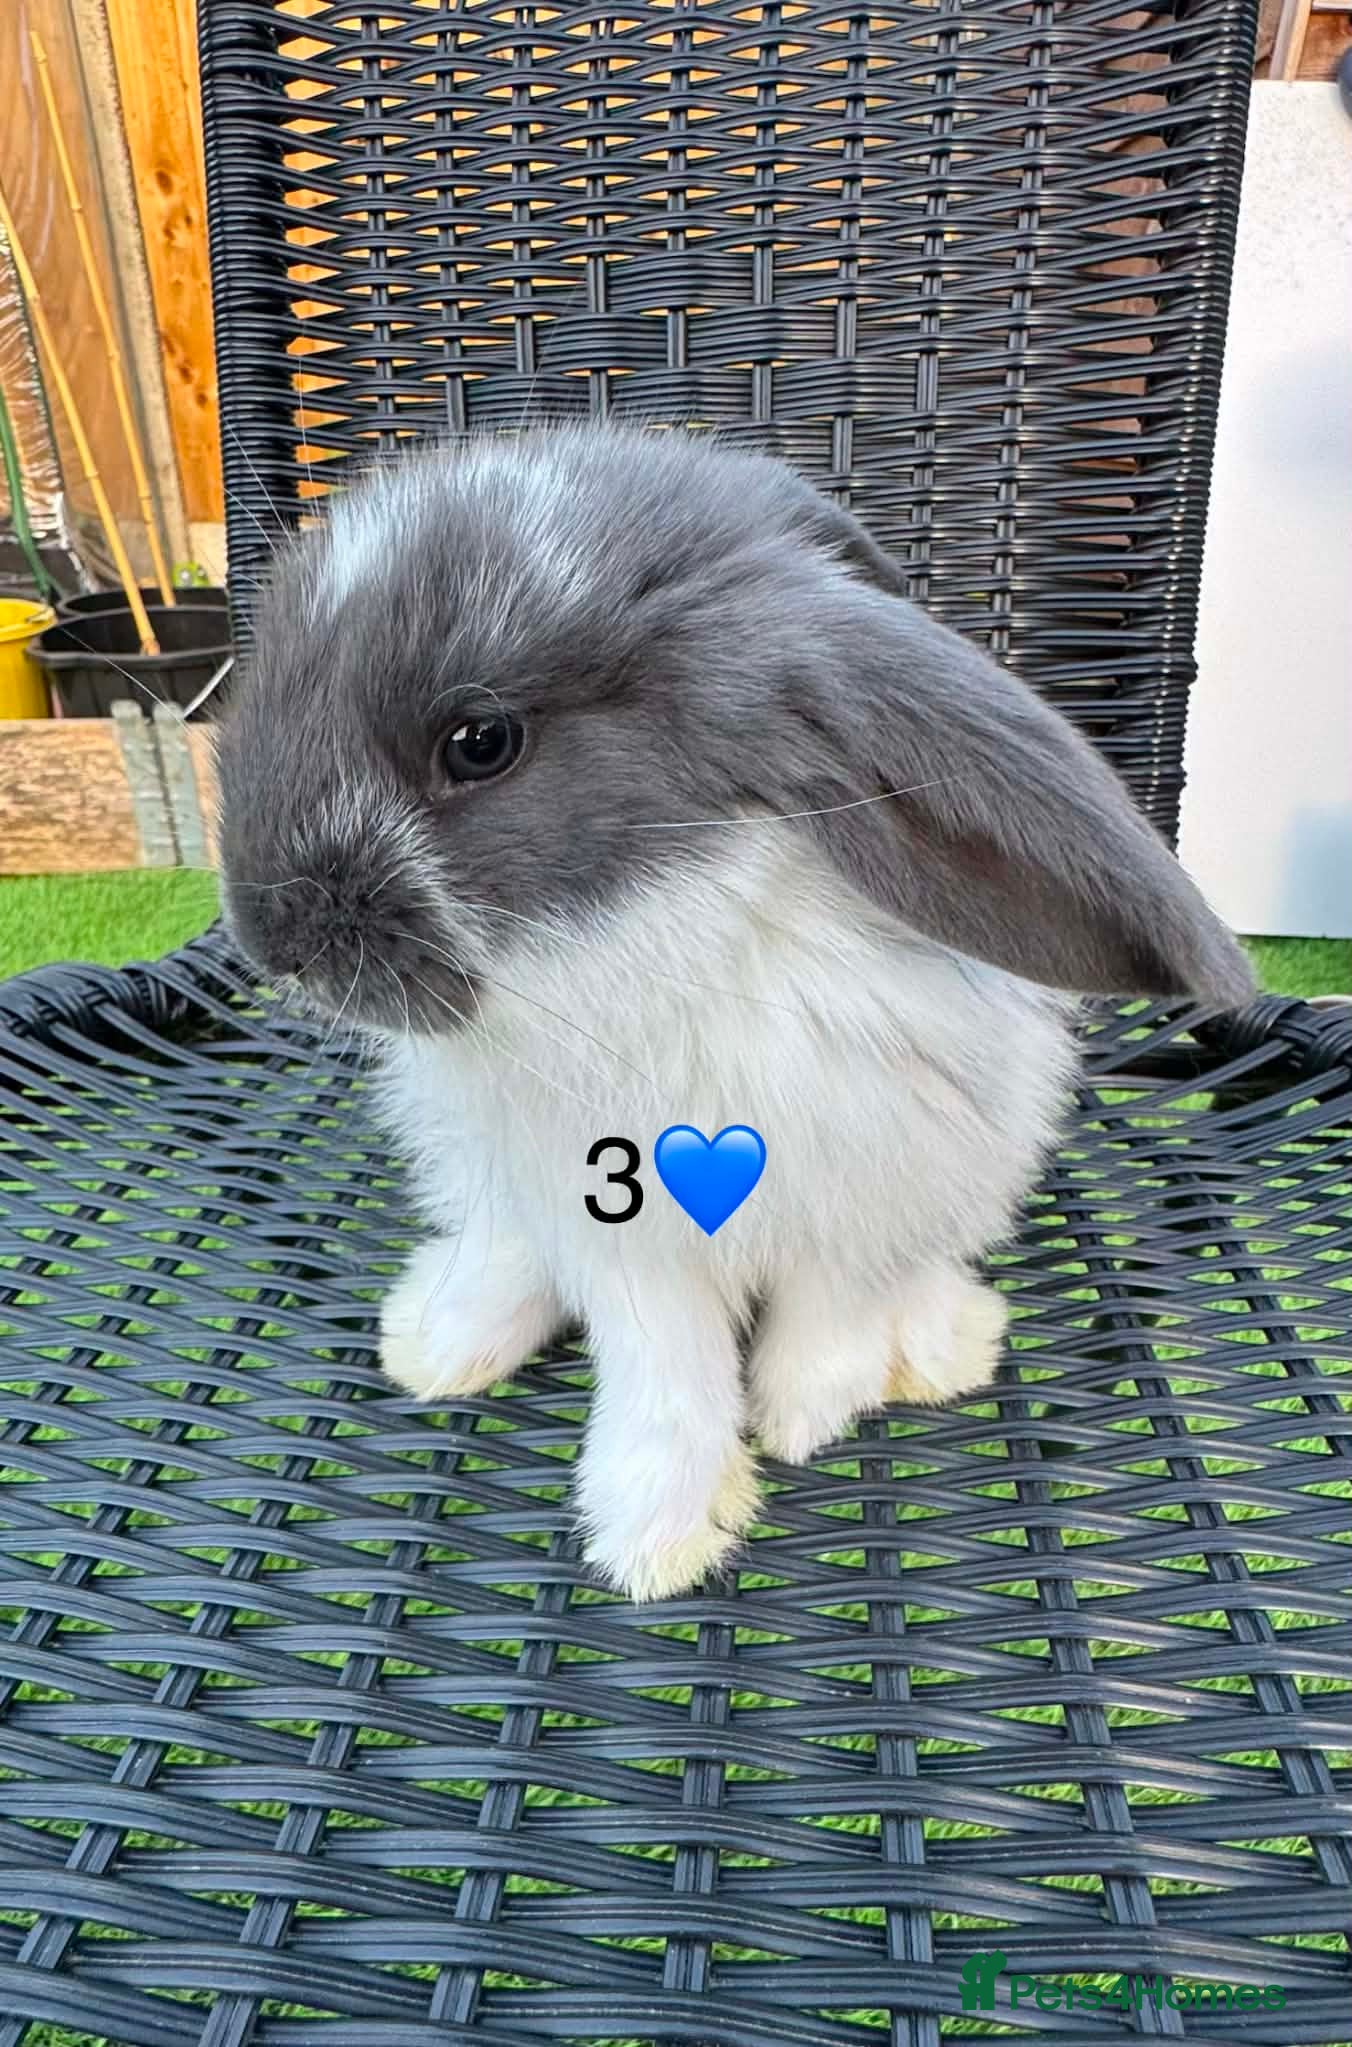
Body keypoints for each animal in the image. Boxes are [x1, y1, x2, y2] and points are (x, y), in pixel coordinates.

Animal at [216, 423, 1255, 1602]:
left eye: (480, 740)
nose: (271, 936)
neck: (635, 938)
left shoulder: (870, 1187)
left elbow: (831, 1315)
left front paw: (806, 1414)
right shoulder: (615, 1235)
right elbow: (663, 1367)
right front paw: (658, 1536)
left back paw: (941, 1344)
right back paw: (443, 1338)